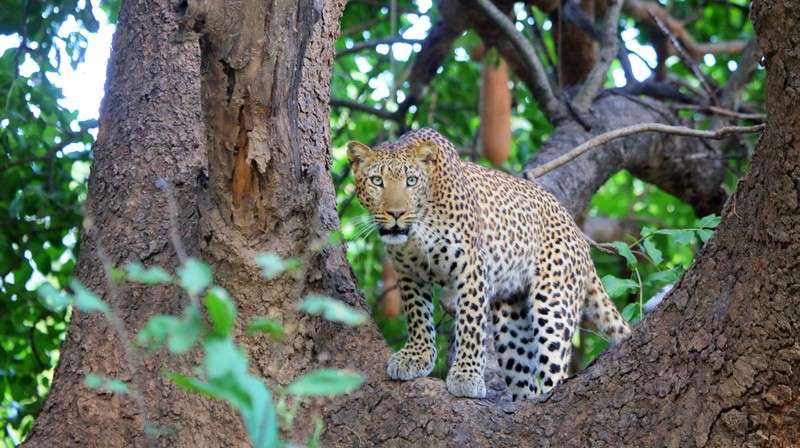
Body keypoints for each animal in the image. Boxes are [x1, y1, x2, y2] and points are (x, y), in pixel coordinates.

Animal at [346, 127, 631, 400]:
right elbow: (417, 315)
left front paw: (466, 376)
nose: (396, 214)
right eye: (377, 181)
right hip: (512, 324)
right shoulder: (408, 272)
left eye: (411, 181)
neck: (419, 227)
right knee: (525, 380)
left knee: (554, 371)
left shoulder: (471, 266)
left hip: (553, 302)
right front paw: (417, 356)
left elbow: (470, 323)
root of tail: (579, 237)